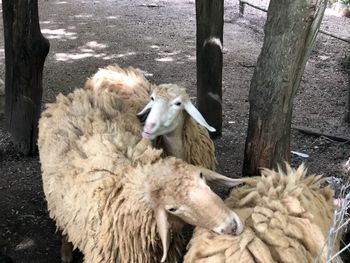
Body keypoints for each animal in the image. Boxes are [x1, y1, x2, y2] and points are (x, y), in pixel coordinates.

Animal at [37, 88, 242, 263]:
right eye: (172, 208)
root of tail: (75, 95)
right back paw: (66, 253)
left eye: (202, 177)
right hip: (60, 203)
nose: (232, 226)